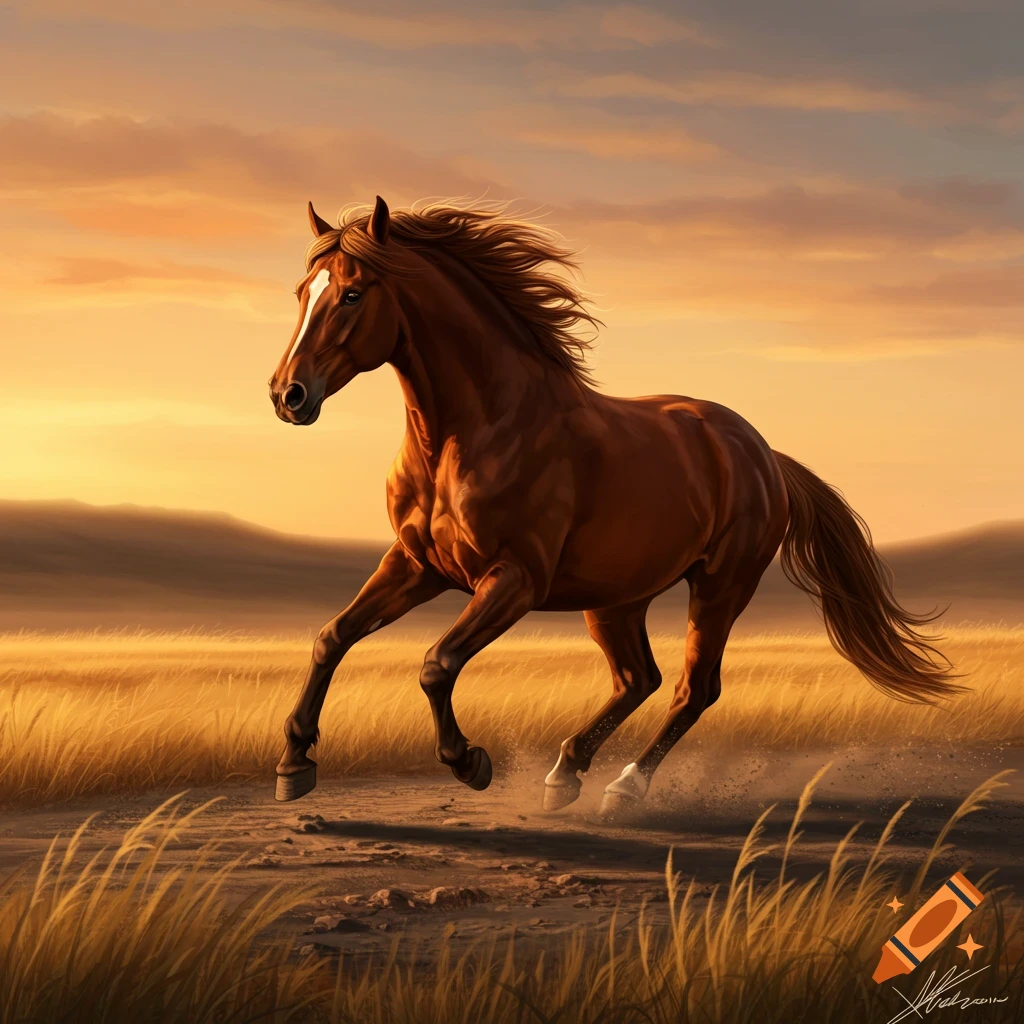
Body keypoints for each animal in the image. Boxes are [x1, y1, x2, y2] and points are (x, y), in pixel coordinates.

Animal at [267, 196, 961, 815]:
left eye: (353, 294)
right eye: (303, 291)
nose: (287, 395)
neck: (474, 431)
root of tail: (763, 454)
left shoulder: (513, 579)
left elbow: (437, 664)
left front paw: (471, 763)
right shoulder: (417, 565)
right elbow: (332, 638)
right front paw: (294, 765)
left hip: (720, 585)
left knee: (692, 688)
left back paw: (622, 789)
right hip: (617, 597)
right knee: (638, 678)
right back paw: (564, 775)